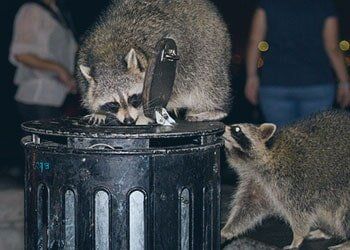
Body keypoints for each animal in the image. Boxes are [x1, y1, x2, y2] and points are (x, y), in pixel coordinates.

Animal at [75, 0, 231, 125]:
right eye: (113, 105)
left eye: (133, 98)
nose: (129, 121)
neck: (109, 55)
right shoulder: (83, 59)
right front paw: (98, 113)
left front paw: (144, 115)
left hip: (210, 51)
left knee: (207, 83)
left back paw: (215, 110)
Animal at [221, 111, 350, 250]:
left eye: (237, 129)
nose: (221, 128)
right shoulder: (257, 181)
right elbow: (249, 206)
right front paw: (228, 229)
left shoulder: (293, 180)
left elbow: (299, 212)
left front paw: (298, 237)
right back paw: (327, 231)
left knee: (344, 212)